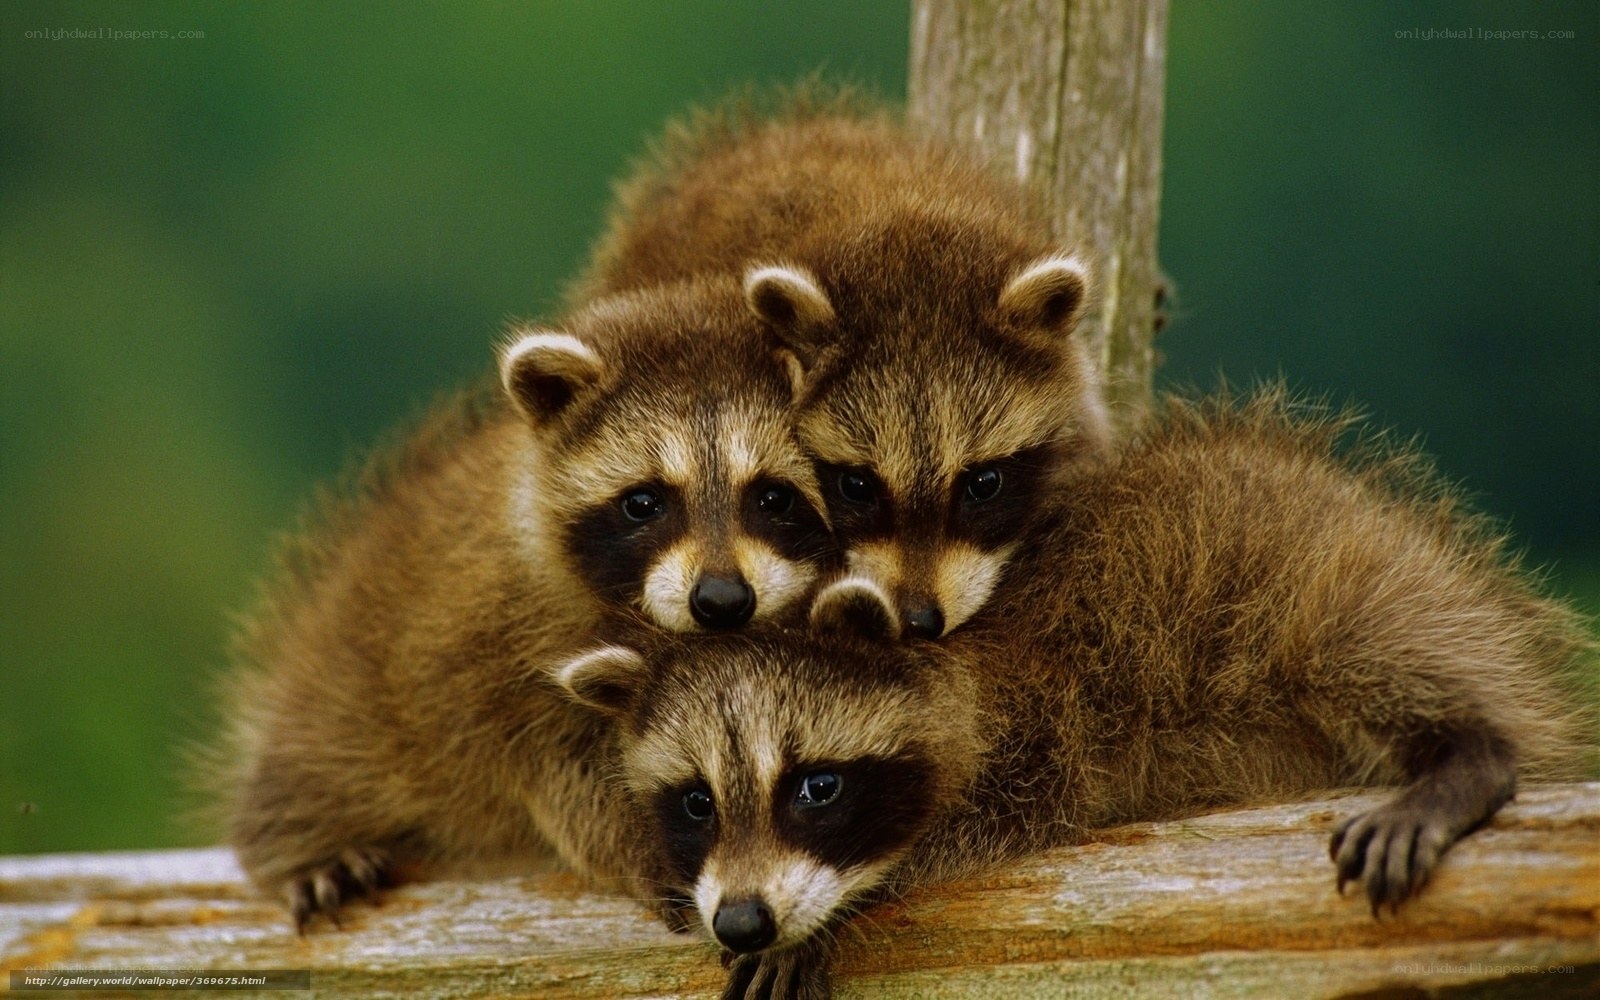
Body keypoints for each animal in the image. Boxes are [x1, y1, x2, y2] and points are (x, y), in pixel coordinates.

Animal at [220, 275, 830, 926]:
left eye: (774, 496)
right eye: (645, 501)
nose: (721, 599)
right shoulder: (498, 653)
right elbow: (565, 776)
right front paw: (658, 843)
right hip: (345, 696)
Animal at [556, 390, 1590, 999]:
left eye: (815, 787)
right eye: (696, 802)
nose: (742, 919)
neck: (947, 658)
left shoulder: (1042, 719)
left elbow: (973, 822)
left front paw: (833, 912)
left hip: (1332, 577)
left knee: (1376, 650)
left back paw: (1471, 751)